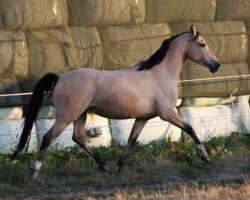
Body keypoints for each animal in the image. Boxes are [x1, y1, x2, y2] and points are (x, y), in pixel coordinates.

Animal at [11, 25, 219, 178]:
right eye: (202, 44)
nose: (216, 65)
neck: (160, 75)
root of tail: (60, 77)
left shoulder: (143, 118)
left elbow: (132, 140)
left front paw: (119, 167)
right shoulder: (167, 113)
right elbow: (190, 129)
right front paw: (205, 156)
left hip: (80, 115)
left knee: (77, 138)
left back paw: (104, 165)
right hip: (66, 116)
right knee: (48, 138)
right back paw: (34, 174)